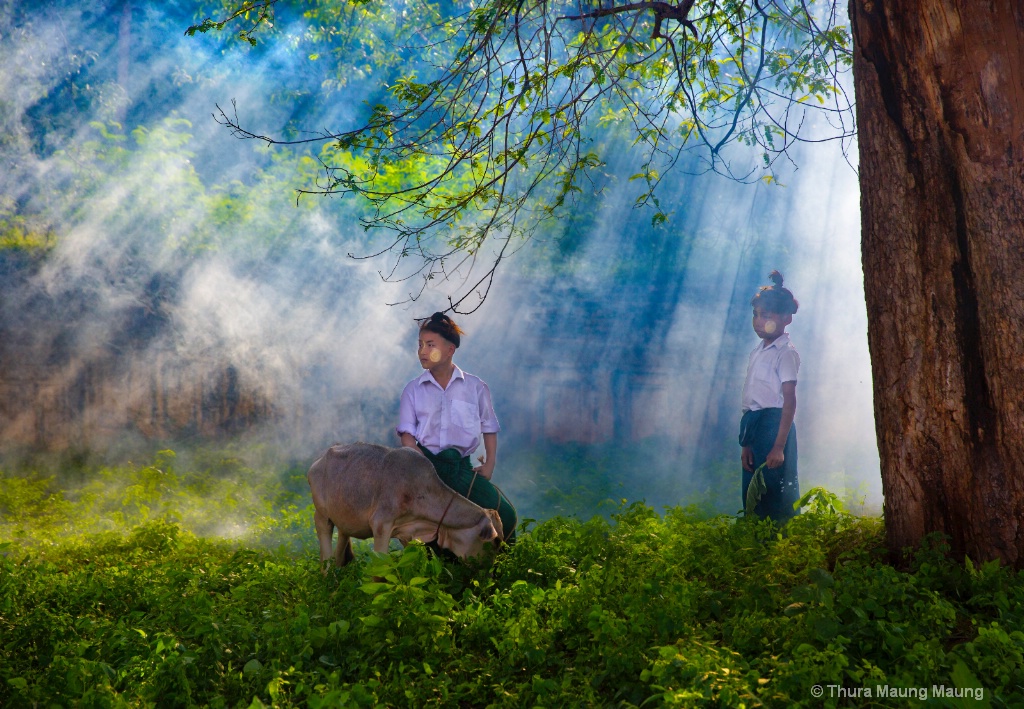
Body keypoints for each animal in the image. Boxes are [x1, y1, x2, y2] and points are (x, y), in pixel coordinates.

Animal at [307, 442, 507, 569]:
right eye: (496, 541)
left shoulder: (408, 535)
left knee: (340, 549)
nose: (490, 575)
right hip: (322, 515)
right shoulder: (381, 527)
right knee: (326, 555)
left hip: (344, 521)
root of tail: (319, 461)